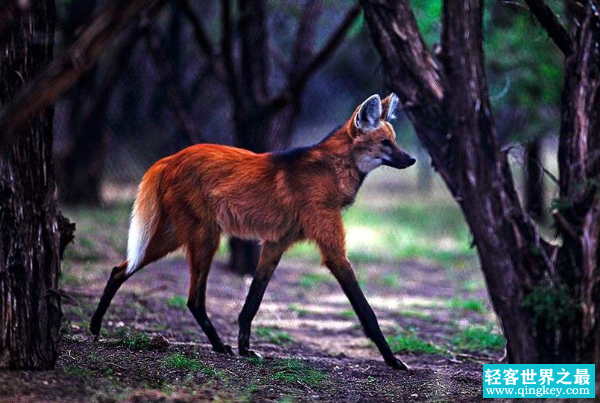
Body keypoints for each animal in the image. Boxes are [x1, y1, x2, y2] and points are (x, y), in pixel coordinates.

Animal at [90, 93, 418, 370]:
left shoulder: (274, 244)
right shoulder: (332, 251)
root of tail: (169, 158)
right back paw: (218, 345)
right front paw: (393, 360)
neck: (331, 171)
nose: (412, 159)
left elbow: (253, 301)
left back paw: (95, 326)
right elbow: (366, 310)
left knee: (120, 269)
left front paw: (246, 348)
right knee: (194, 299)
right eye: (385, 143)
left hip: (173, 236)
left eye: (394, 140)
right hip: (205, 236)